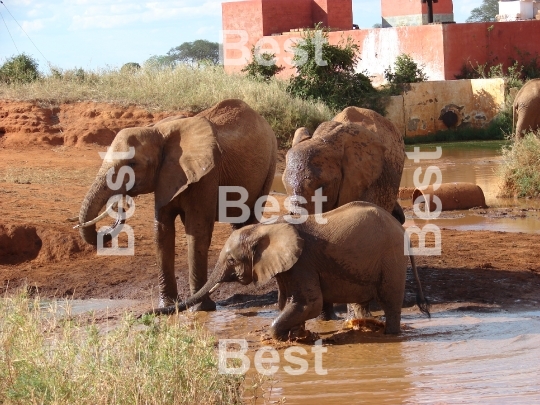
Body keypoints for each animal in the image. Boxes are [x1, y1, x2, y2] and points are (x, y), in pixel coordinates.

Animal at [77, 98, 278, 310]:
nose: (120, 205)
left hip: (270, 165)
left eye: (132, 164)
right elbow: (162, 231)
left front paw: (201, 308)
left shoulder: (207, 175)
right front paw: (167, 305)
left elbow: (196, 232)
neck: (158, 131)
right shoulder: (164, 177)